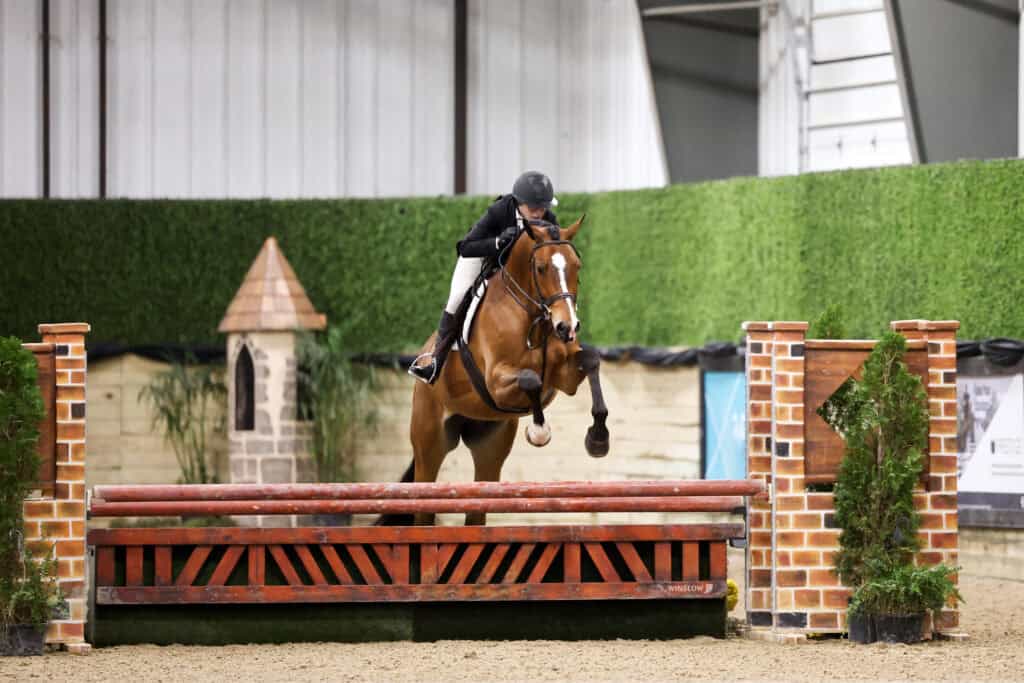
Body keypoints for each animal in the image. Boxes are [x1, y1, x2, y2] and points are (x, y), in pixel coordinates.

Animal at [397, 216, 610, 526]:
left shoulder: (566, 377)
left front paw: (598, 438)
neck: (534, 318)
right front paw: (539, 431)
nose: (566, 326)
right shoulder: (496, 382)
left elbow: (592, 360)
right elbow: (530, 379)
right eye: (541, 268)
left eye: (576, 266)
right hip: (429, 443)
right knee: (423, 498)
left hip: (490, 446)